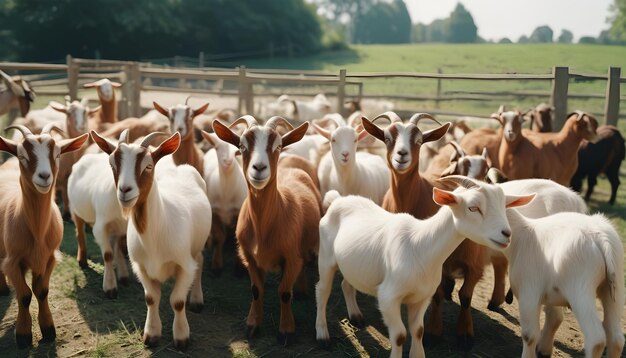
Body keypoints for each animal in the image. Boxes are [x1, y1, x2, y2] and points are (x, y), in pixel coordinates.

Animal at [0, 123, 89, 346]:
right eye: (22, 156)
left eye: (57, 154)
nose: (44, 176)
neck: (37, 233)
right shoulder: (13, 261)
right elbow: (24, 295)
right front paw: (23, 336)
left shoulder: (50, 258)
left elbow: (41, 291)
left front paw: (48, 330)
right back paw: (3, 289)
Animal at [91, 130, 212, 352]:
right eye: (112, 164)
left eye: (148, 166)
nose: (125, 190)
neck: (155, 234)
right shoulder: (141, 267)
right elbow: (151, 298)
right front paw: (152, 334)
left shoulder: (184, 266)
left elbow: (177, 301)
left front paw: (181, 337)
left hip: (198, 244)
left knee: (200, 262)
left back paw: (197, 300)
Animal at [212, 116, 320, 346]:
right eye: (242, 146)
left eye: (277, 145)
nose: (259, 167)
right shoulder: (249, 257)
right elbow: (256, 290)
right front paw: (253, 325)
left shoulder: (291, 257)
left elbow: (285, 292)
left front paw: (286, 330)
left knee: (304, 262)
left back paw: (302, 290)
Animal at [316, 176, 532, 358]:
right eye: (473, 208)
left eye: (504, 207)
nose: (507, 234)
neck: (420, 246)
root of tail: (338, 199)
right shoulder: (388, 297)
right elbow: (400, 335)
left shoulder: (422, 297)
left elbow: (418, 331)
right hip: (326, 258)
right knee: (322, 291)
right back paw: (323, 336)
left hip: (353, 264)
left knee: (346, 284)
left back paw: (356, 317)